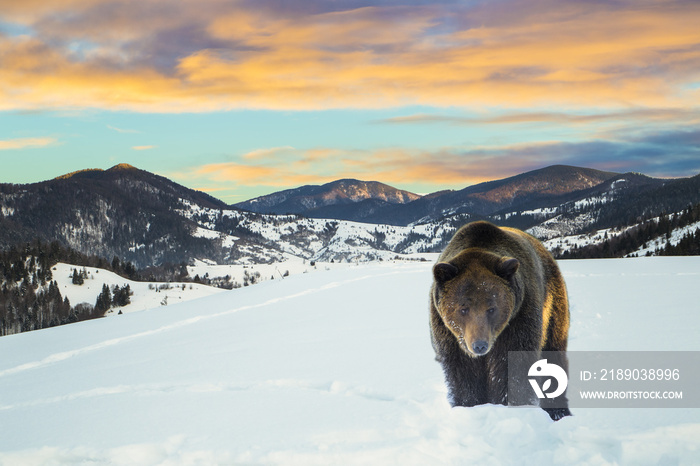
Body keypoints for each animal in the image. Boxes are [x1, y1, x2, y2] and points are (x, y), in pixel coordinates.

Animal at [430, 220, 572, 420]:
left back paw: (558, 411)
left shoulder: (518, 320)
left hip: (553, 306)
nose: (480, 345)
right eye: (463, 308)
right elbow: (463, 375)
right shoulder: (449, 335)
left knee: (553, 354)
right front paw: (469, 406)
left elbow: (510, 367)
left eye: (492, 308)